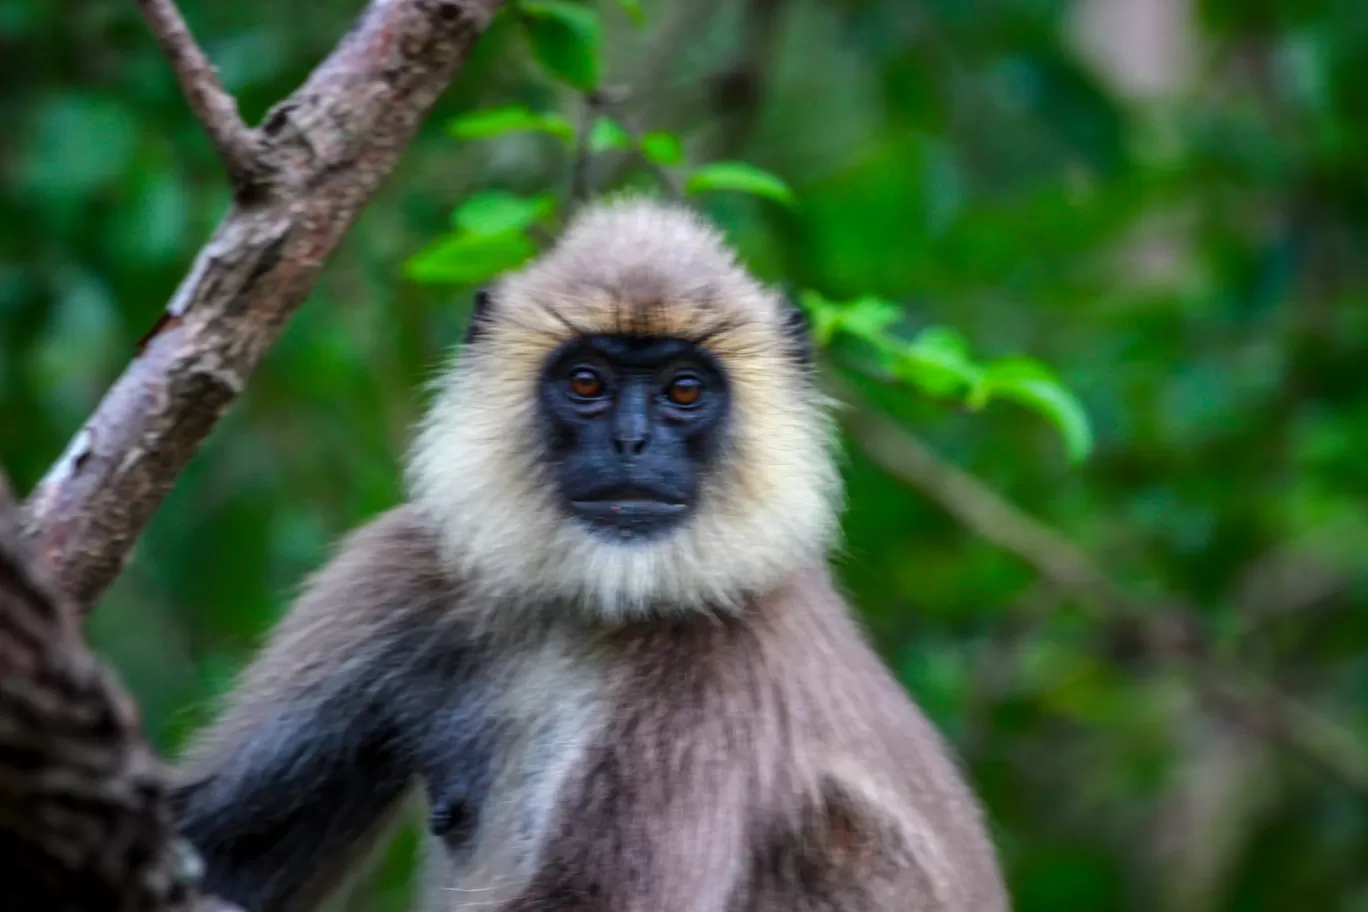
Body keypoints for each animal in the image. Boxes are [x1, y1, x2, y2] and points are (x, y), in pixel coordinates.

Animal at [168, 194, 1006, 912]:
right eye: (585, 382)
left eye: (683, 392)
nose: (630, 443)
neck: (585, 603)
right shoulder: (402, 566)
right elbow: (217, 848)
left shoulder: (716, 656)